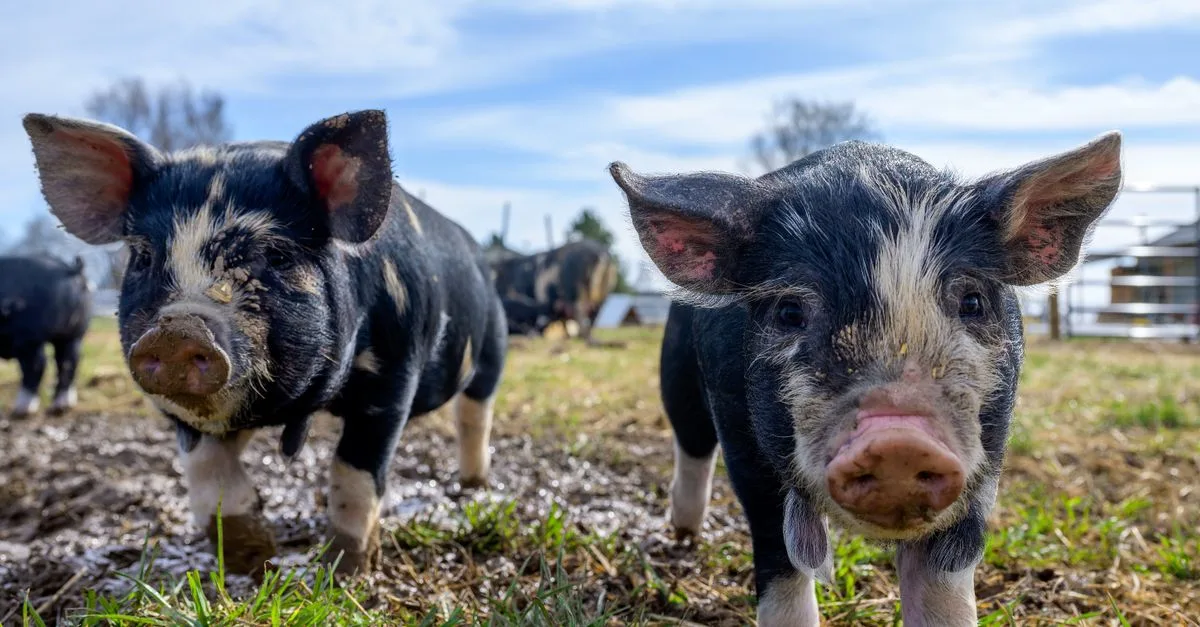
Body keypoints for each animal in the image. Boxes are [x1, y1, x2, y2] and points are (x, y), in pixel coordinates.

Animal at [0, 253, 91, 417]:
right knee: (69, 361)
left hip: (28, 338)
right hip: (73, 335)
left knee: (37, 364)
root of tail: (69, 269)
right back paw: (61, 406)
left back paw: (22, 409)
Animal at [23, 110, 508, 577]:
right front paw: (253, 560)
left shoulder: (393, 373)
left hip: (493, 348)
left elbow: (355, 469)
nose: (179, 328)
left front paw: (344, 570)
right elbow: (205, 469)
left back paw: (474, 485)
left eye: (276, 254)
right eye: (143, 257)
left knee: (474, 415)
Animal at [609, 132, 1122, 626]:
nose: (898, 440)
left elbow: (942, 588)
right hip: (677, 375)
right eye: (790, 311)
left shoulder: (988, 456)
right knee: (692, 445)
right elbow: (781, 568)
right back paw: (683, 535)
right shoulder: (745, 445)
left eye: (973, 302)